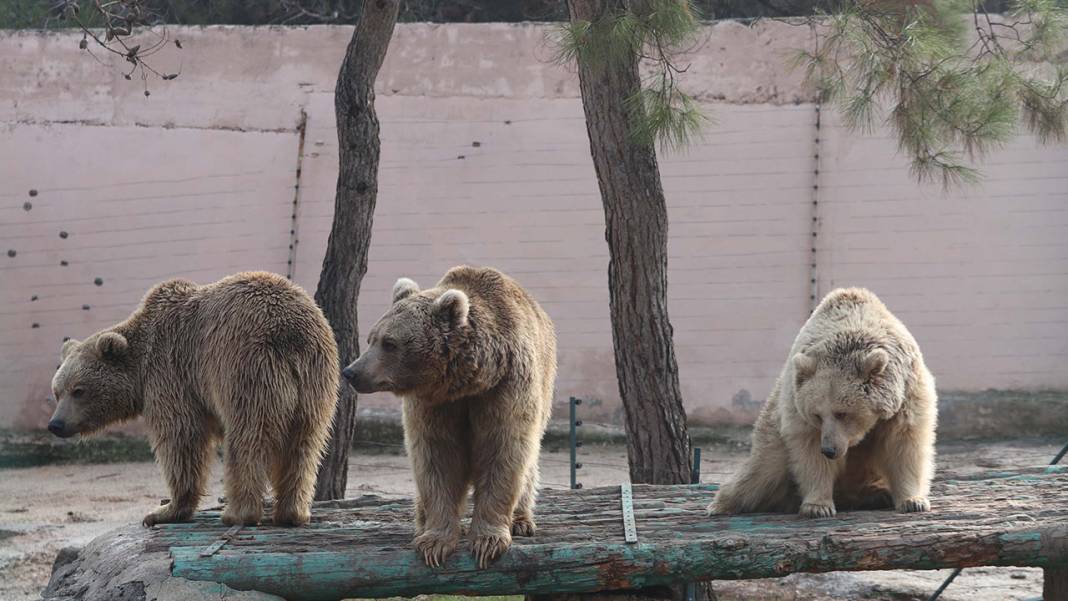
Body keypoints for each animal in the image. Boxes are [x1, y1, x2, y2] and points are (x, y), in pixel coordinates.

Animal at [49, 270, 337, 529]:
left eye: (79, 390)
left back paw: (238, 513)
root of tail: (290, 338)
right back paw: (292, 512)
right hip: (316, 384)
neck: (140, 366)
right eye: (57, 391)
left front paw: (163, 510)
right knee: (305, 445)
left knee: (248, 440)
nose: (56, 424)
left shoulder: (172, 372)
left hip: (244, 369)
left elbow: (180, 439)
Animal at [343, 266, 559, 567]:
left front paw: (487, 542)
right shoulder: (434, 405)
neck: (467, 382)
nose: (351, 372)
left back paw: (521, 520)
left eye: (390, 343)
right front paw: (435, 543)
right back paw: (421, 520)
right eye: (370, 339)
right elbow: (438, 458)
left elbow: (502, 450)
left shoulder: (504, 388)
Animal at [709, 286, 935, 516]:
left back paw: (877, 495)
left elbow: (903, 443)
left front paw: (913, 500)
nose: (829, 450)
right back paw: (721, 504)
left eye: (842, 413)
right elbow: (809, 451)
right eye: (817, 415)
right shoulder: (799, 406)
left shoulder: (907, 394)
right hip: (773, 433)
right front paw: (818, 506)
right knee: (761, 471)